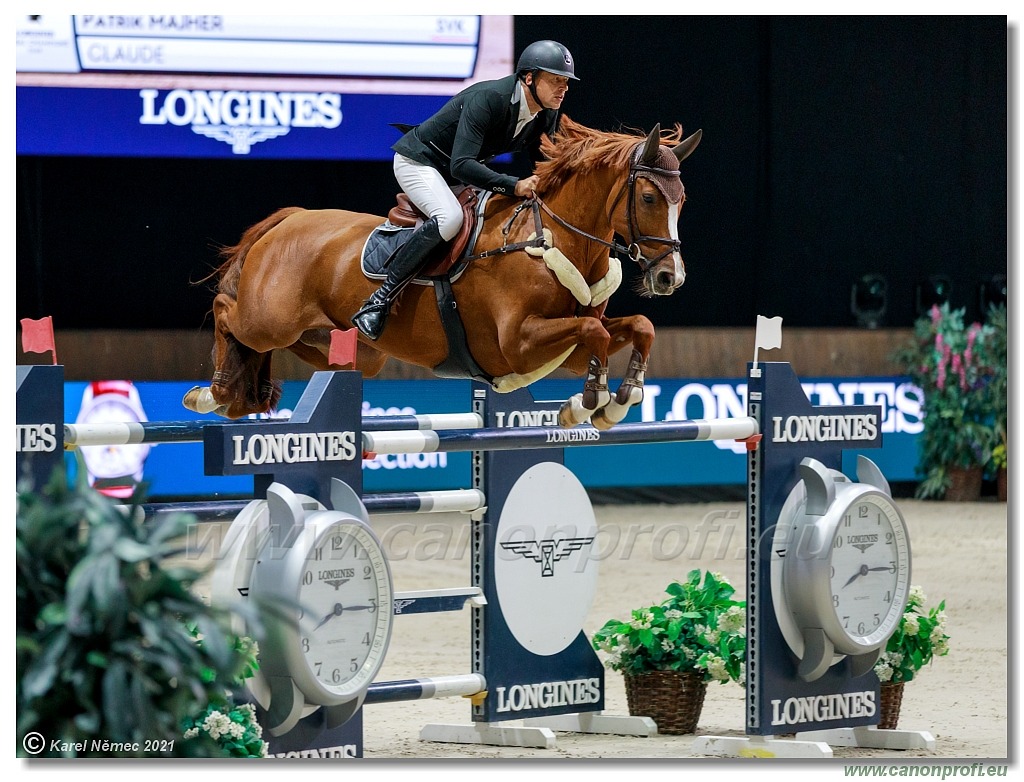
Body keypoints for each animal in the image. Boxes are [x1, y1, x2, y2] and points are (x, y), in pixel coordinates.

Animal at [184, 117, 700, 427]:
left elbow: (636, 326)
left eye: (682, 202)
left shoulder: (561, 349)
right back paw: (214, 391)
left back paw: (247, 394)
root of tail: (291, 218)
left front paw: (620, 397)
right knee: (227, 309)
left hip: (343, 346)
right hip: (270, 317)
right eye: (649, 198)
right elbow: (595, 331)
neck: (549, 237)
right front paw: (591, 401)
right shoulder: (519, 343)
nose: (670, 278)